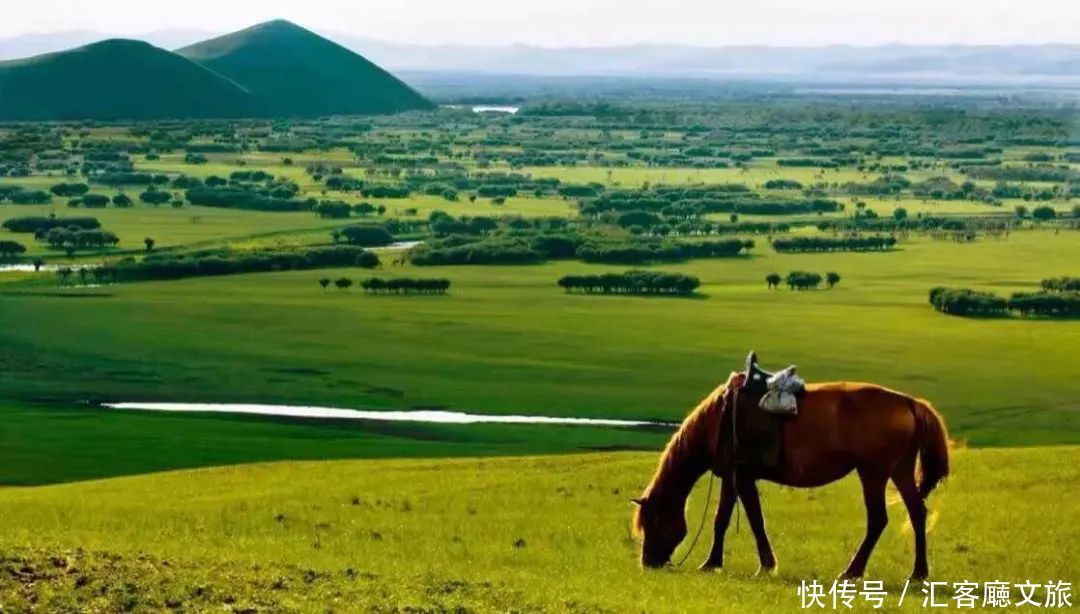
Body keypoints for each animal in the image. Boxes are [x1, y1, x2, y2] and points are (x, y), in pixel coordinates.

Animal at [630, 351, 950, 578]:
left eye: (653, 521)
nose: (648, 563)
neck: (719, 419)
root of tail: (909, 402)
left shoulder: (743, 476)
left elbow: (753, 520)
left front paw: (765, 565)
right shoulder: (731, 476)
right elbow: (722, 520)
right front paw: (712, 563)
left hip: (874, 472)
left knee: (878, 520)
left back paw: (852, 571)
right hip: (899, 470)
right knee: (917, 513)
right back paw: (918, 573)